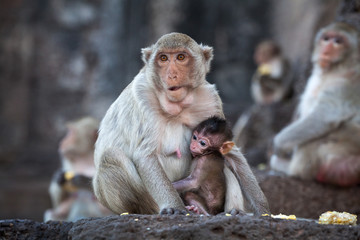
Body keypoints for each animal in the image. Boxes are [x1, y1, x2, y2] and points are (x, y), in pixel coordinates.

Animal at [93, 32, 270, 216]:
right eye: (163, 58)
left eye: (180, 57)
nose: (172, 75)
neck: (176, 106)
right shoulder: (142, 95)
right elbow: (145, 155)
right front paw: (174, 207)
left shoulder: (209, 98)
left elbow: (231, 153)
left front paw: (263, 208)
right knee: (111, 156)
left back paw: (232, 211)